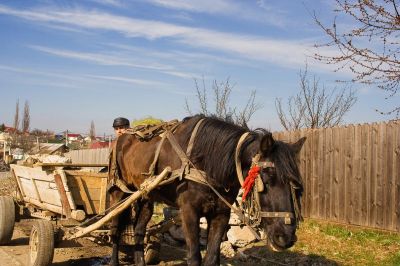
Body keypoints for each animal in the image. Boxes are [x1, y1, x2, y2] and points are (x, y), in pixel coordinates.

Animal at [109, 115, 306, 266]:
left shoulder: (220, 213)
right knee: (115, 230)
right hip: (119, 194)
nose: (286, 236)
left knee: (139, 231)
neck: (206, 161)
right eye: (266, 178)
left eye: (295, 184)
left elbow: (212, 258)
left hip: (146, 197)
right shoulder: (189, 212)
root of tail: (122, 138)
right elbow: (195, 257)